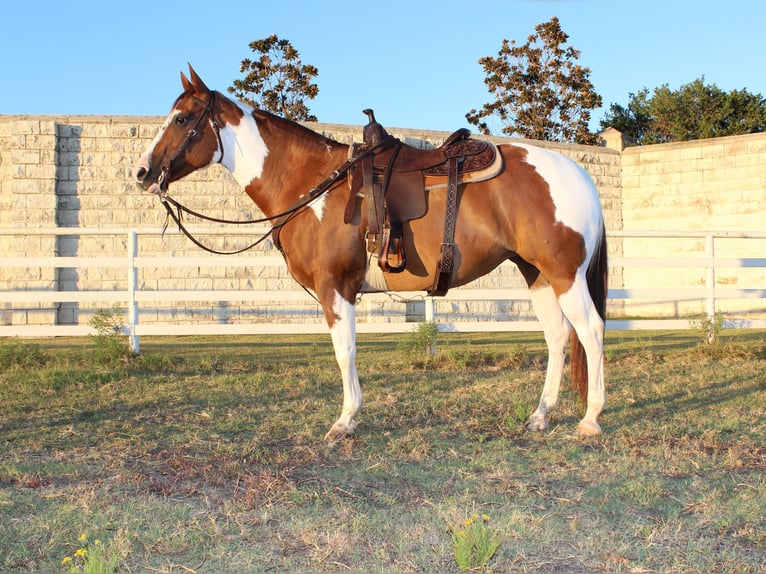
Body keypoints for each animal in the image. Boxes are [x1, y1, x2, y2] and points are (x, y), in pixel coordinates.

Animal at [134, 68, 612, 446]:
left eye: (181, 118)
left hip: (564, 274)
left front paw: (345, 420)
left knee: (590, 330)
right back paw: (540, 415)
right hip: (537, 274)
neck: (313, 185)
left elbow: (344, 350)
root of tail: (578, 174)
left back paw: (590, 420)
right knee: (558, 336)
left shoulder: (336, 287)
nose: (142, 172)